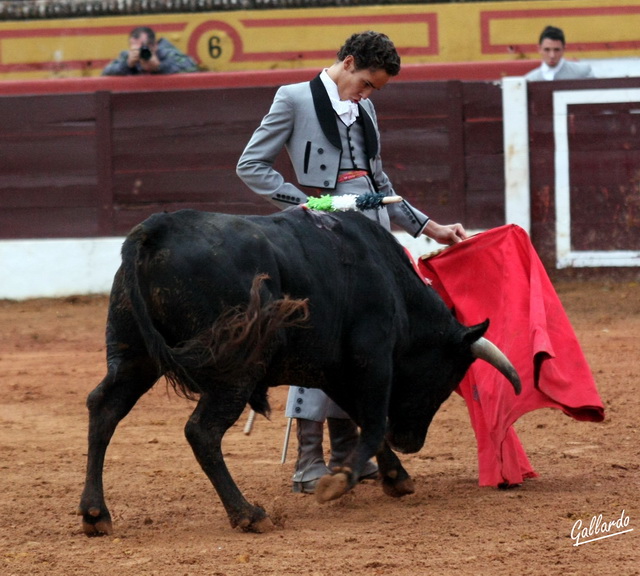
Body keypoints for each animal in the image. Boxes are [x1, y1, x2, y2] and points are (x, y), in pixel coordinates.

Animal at [80, 208, 520, 536]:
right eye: (447, 380)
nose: (411, 441)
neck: (392, 284)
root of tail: (154, 230)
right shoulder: (373, 358)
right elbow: (374, 420)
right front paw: (340, 482)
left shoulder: (334, 371)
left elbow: (361, 418)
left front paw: (396, 476)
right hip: (235, 367)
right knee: (201, 431)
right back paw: (248, 514)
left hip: (134, 355)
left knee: (105, 407)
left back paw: (95, 515)